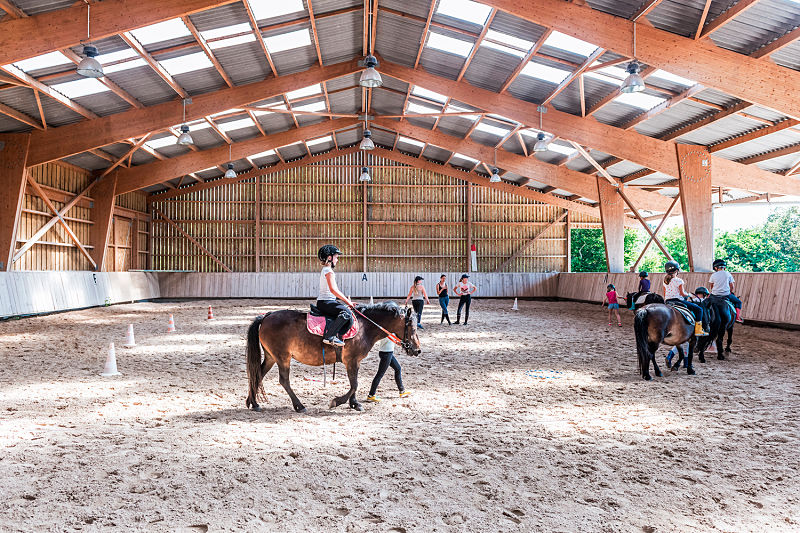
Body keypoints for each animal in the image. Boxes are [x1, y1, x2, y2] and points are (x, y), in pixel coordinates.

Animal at [245, 300, 422, 412]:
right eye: (412, 328)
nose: (417, 350)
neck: (365, 326)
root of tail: (266, 316)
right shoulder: (351, 360)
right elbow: (354, 384)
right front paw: (337, 402)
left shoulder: (355, 362)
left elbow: (354, 383)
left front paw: (354, 404)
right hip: (282, 358)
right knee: (284, 381)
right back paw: (299, 406)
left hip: (271, 357)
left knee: (258, 375)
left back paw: (253, 402)